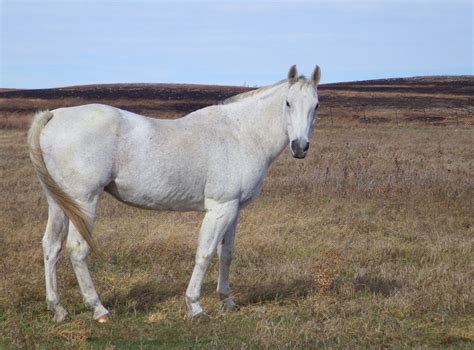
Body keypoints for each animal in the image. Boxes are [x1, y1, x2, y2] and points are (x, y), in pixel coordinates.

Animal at [27, 65, 320, 322]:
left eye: (316, 105)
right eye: (288, 103)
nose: (300, 147)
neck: (240, 134)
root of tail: (54, 116)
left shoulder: (234, 209)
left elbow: (226, 254)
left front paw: (227, 301)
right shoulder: (220, 208)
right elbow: (205, 253)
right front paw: (195, 307)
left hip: (59, 203)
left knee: (51, 246)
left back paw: (59, 310)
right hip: (84, 202)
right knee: (77, 249)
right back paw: (99, 310)